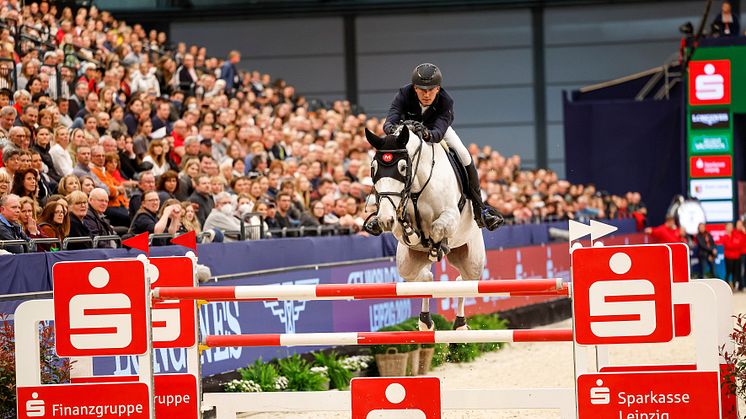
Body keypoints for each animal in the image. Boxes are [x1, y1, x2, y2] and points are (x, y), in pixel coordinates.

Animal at [364, 124, 486, 332]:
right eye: (373, 169)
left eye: (403, 167)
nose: (385, 219)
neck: (415, 187)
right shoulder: (398, 225)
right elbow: (407, 232)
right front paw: (412, 231)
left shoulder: (450, 215)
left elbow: (438, 227)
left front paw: (438, 247)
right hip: (408, 263)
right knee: (426, 279)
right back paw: (425, 322)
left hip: (473, 261)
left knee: (464, 281)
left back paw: (460, 324)